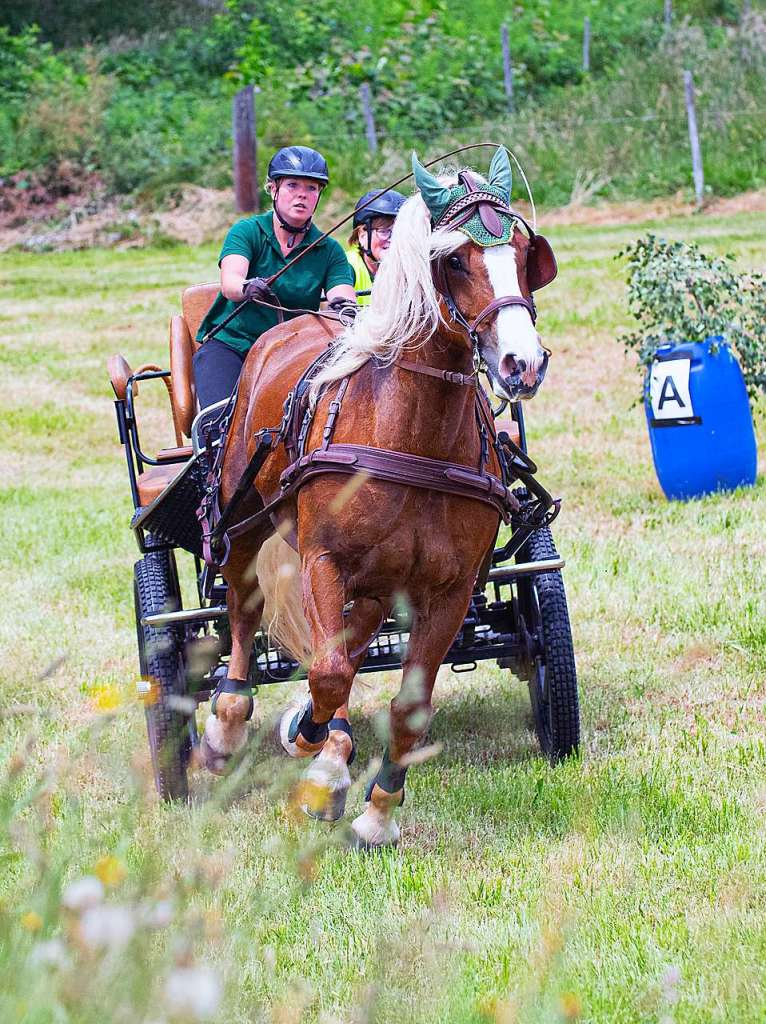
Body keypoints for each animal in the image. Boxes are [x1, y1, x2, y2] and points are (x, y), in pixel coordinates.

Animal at [197, 146, 557, 847]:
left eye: (526, 253)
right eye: (454, 260)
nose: (521, 365)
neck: (412, 433)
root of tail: (292, 327)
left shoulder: (449, 587)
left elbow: (408, 704)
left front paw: (375, 812)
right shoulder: (323, 560)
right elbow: (329, 673)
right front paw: (313, 752)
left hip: (378, 580)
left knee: (354, 635)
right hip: (244, 520)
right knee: (244, 610)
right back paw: (227, 725)